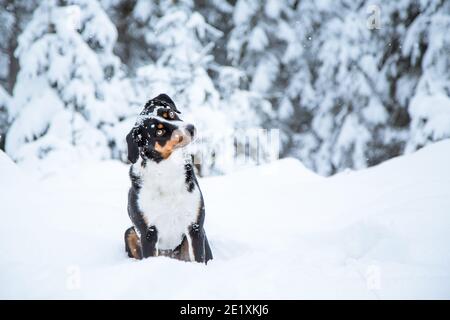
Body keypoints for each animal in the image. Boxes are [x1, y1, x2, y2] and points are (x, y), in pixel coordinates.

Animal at [124, 94, 214, 264]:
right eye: (159, 132)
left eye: (171, 114)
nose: (191, 128)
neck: (168, 171)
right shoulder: (148, 233)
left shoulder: (195, 227)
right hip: (130, 232)